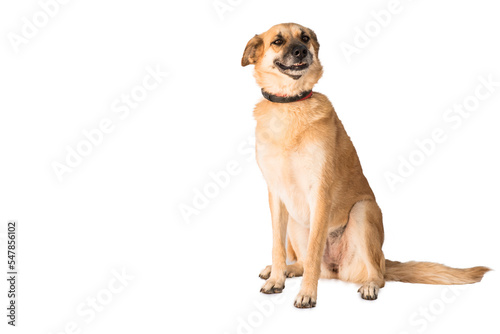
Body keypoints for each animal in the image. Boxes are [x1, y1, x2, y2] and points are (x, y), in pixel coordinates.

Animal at [240, 22, 490, 308]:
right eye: (278, 41)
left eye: (304, 38)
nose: (302, 51)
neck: (291, 106)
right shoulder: (276, 194)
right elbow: (278, 247)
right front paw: (277, 278)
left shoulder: (320, 192)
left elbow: (314, 252)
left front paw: (307, 293)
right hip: (295, 221)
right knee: (303, 260)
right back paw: (286, 269)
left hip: (363, 211)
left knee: (375, 275)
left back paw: (369, 284)